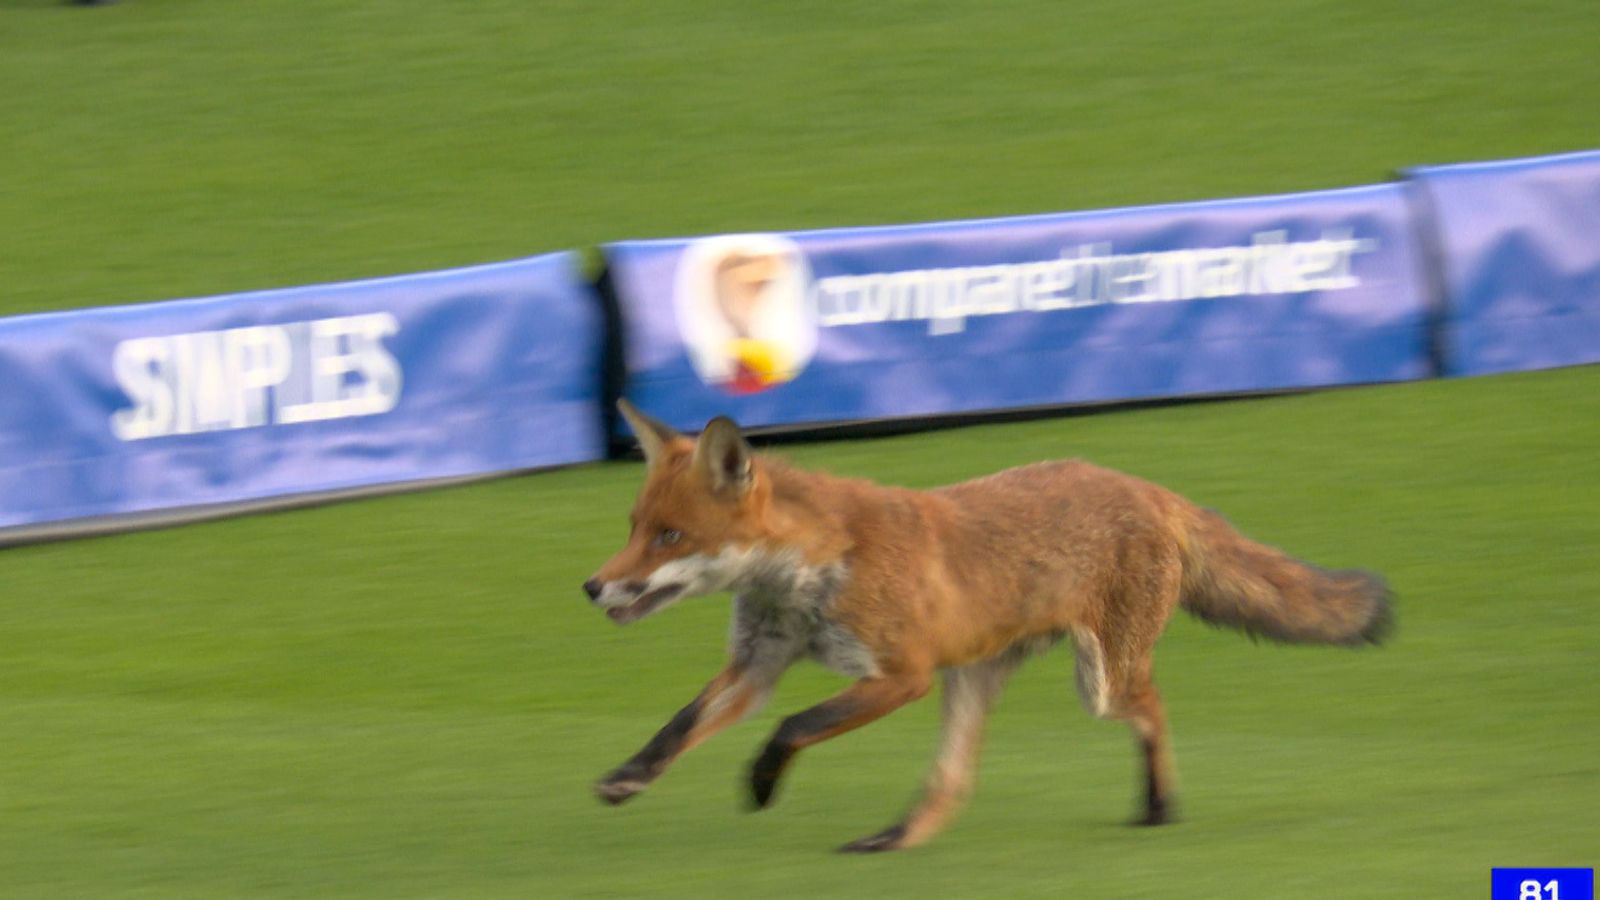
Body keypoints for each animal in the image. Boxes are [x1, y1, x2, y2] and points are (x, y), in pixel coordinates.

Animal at [584, 400, 1393, 852]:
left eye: (669, 538)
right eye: (634, 527)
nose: (592, 587)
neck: (805, 581)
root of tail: (1152, 489)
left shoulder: (900, 676)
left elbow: (793, 725)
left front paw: (760, 782)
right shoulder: (756, 665)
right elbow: (679, 726)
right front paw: (628, 779)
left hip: (1097, 683)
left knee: (1153, 709)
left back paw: (1161, 809)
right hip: (973, 678)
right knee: (951, 784)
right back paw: (893, 840)